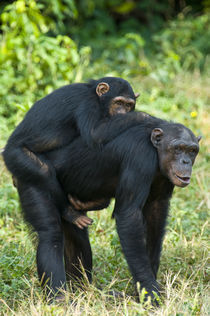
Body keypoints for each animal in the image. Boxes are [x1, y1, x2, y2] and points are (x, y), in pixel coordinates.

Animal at [2, 78, 139, 228]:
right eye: (118, 102)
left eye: (128, 105)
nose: (123, 113)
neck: (98, 98)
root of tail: (5, 149)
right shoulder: (87, 103)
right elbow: (95, 133)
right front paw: (145, 117)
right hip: (15, 155)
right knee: (44, 172)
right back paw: (70, 213)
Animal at [12, 111, 200, 302]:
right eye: (178, 148)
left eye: (192, 151)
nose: (185, 161)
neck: (156, 151)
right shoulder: (140, 156)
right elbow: (129, 215)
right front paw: (150, 290)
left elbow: (156, 214)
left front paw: (144, 289)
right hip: (31, 177)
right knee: (51, 234)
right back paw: (59, 299)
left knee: (76, 237)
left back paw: (83, 290)